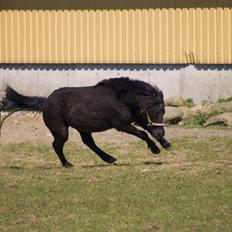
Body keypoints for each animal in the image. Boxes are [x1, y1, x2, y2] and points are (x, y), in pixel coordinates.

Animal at [0, 77, 170, 167]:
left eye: (163, 111)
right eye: (153, 111)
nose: (160, 132)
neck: (121, 99)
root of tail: (45, 102)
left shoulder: (137, 118)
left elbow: (147, 129)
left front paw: (165, 143)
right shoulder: (121, 125)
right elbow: (142, 133)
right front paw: (155, 149)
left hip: (83, 127)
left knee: (89, 142)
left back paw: (110, 158)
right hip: (62, 131)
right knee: (57, 145)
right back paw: (67, 164)